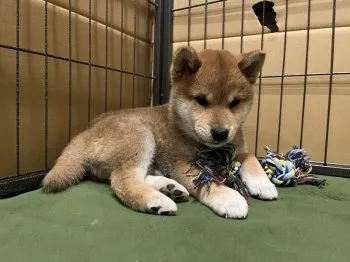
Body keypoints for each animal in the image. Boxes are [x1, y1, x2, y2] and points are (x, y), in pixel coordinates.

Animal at [41, 46, 278, 218]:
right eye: (201, 100)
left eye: (234, 103)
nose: (220, 133)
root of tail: (86, 131)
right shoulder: (181, 164)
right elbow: (206, 180)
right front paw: (229, 198)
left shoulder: (238, 149)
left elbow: (251, 158)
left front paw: (263, 183)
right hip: (140, 134)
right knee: (122, 179)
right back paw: (156, 200)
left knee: (134, 175)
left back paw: (169, 187)